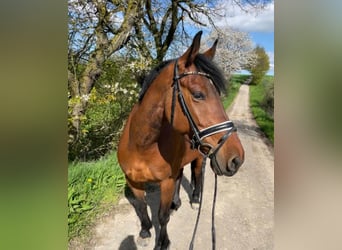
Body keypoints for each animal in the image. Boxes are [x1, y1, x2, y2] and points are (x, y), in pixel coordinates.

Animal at [117, 31, 243, 250]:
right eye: (198, 94)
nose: (237, 158)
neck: (142, 146)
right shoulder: (132, 180)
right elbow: (141, 207)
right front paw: (144, 232)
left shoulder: (165, 182)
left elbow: (162, 216)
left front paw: (163, 242)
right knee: (181, 175)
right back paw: (176, 203)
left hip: (200, 157)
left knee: (197, 174)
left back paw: (195, 199)